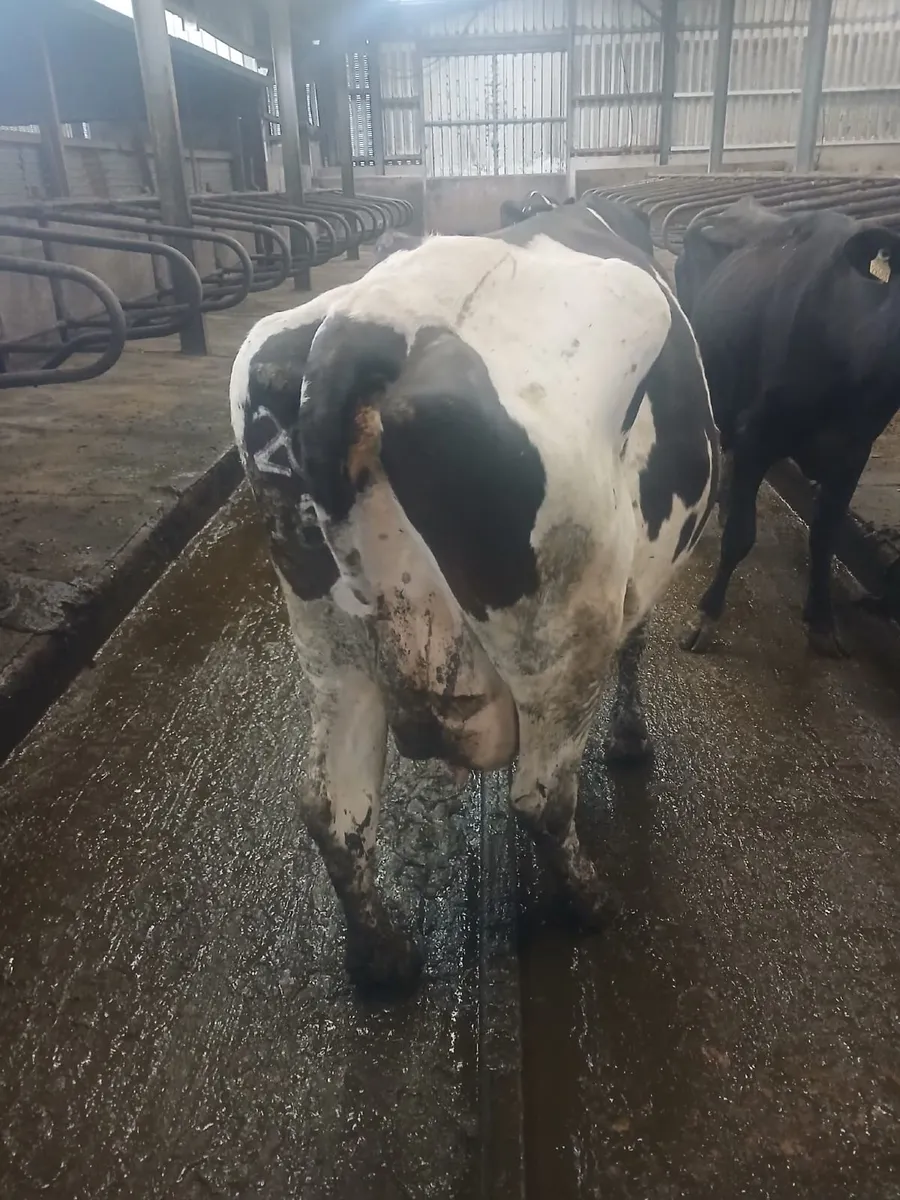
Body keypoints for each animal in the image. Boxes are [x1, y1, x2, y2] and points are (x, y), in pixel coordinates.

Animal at [230, 199, 718, 994]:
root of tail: (360, 329)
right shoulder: (632, 582)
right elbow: (638, 642)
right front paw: (631, 742)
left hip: (331, 644)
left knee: (331, 803)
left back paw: (385, 959)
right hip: (564, 631)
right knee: (542, 798)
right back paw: (592, 904)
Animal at [674, 198, 900, 657]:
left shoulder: (853, 452)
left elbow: (825, 537)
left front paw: (823, 622)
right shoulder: (759, 433)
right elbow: (741, 536)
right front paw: (706, 616)